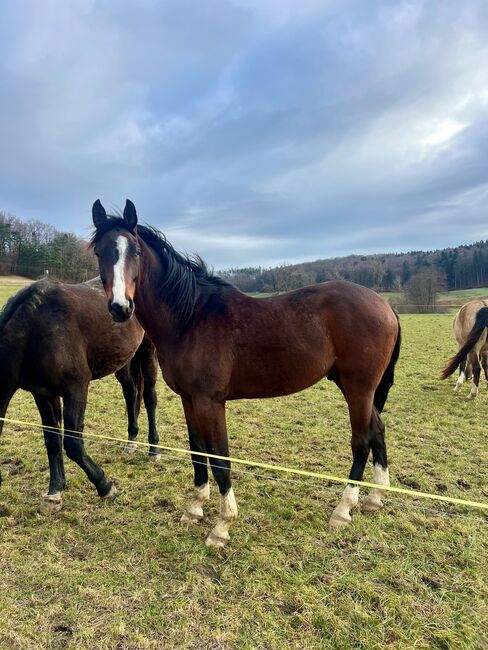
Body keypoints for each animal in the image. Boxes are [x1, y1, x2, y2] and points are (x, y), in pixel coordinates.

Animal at [0, 274, 160, 512]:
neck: (34, 330)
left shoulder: (76, 389)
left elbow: (73, 444)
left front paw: (105, 486)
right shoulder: (43, 394)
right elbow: (52, 441)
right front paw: (55, 490)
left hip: (148, 351)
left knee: (149, 397)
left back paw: (154, 449)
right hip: (122, 359)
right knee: (130, 393)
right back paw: (131, 440)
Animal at [90, 200, 400, 544]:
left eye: (135, 251)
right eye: (99, 253)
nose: (120, 307)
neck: (190, 318)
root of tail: (385, 305)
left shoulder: (211, 403)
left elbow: (220, 459)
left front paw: (222, 526)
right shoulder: (189, 400)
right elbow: (198, 452)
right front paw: (195, 509)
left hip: (359, 388)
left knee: (361, 440)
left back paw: (343, 510)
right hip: (353, 386)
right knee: (378, 430)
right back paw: (374, 498)